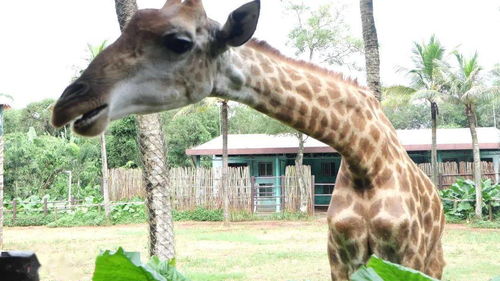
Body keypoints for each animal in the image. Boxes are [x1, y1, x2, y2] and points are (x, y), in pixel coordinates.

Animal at [50, 0, 446, 278]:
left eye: (179, 42)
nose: (67, 103)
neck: (364, 158)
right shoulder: (340, 254)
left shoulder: (404, 256)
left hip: (433, 260)